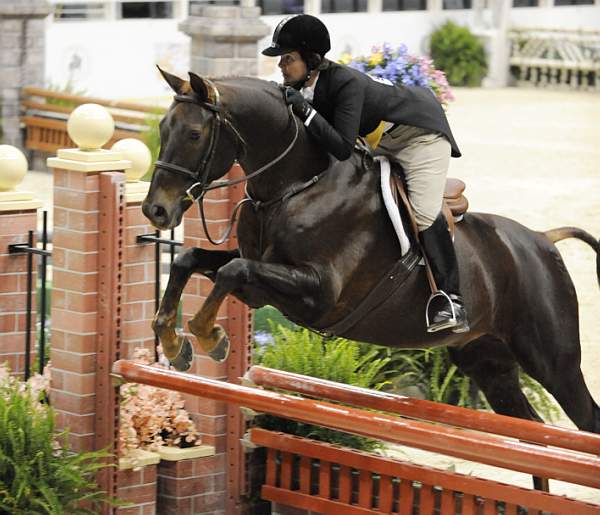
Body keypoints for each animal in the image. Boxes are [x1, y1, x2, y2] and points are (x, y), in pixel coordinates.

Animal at [142, 69, 600, 440]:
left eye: (194, 134)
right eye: (163, 127)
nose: (155, 210)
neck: (296, 187)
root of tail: (542, 239)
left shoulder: (317, 293)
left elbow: (232, 270)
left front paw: (208, 336)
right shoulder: (262, 278)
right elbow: (189, 260)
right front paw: (175, 343)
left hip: (554, 362)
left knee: (584, 423)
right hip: (488, 360)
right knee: (533, 430)